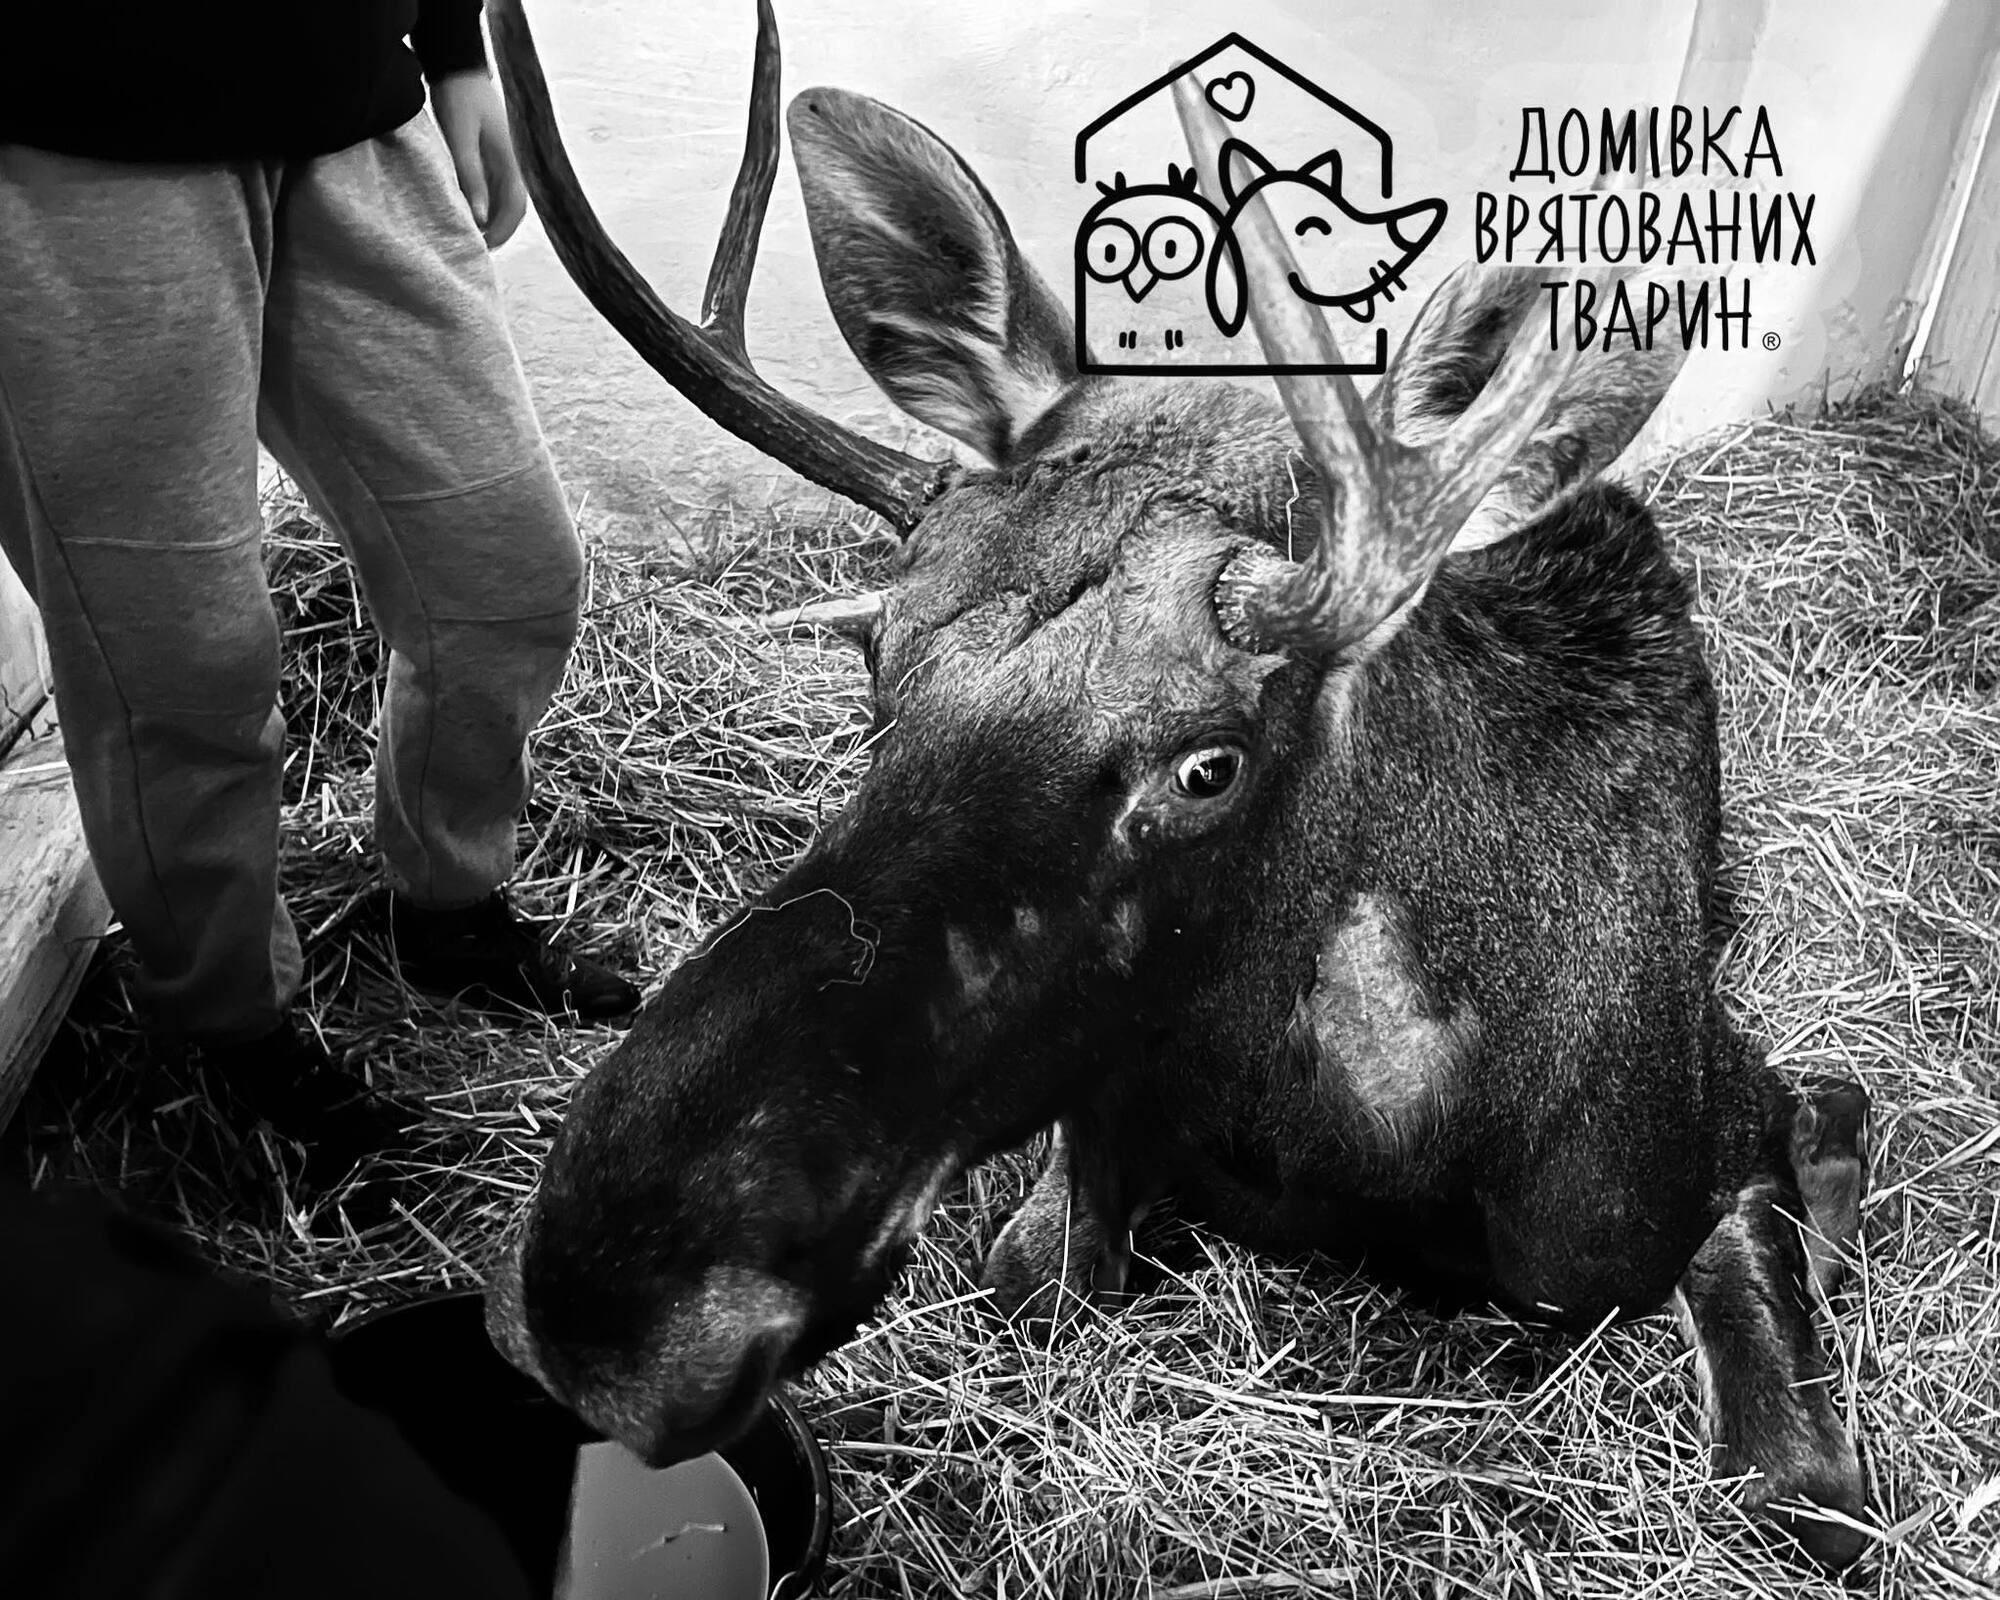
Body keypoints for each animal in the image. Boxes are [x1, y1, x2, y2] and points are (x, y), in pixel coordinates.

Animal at [481, 0, 1873, 1570]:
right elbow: (1040, 1269)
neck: (1351, 1142)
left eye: (1210, 762)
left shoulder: (1694, 1136)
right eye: (879, 665)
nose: (610, 1299)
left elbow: (1801, 1481)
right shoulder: (1100, 1114)